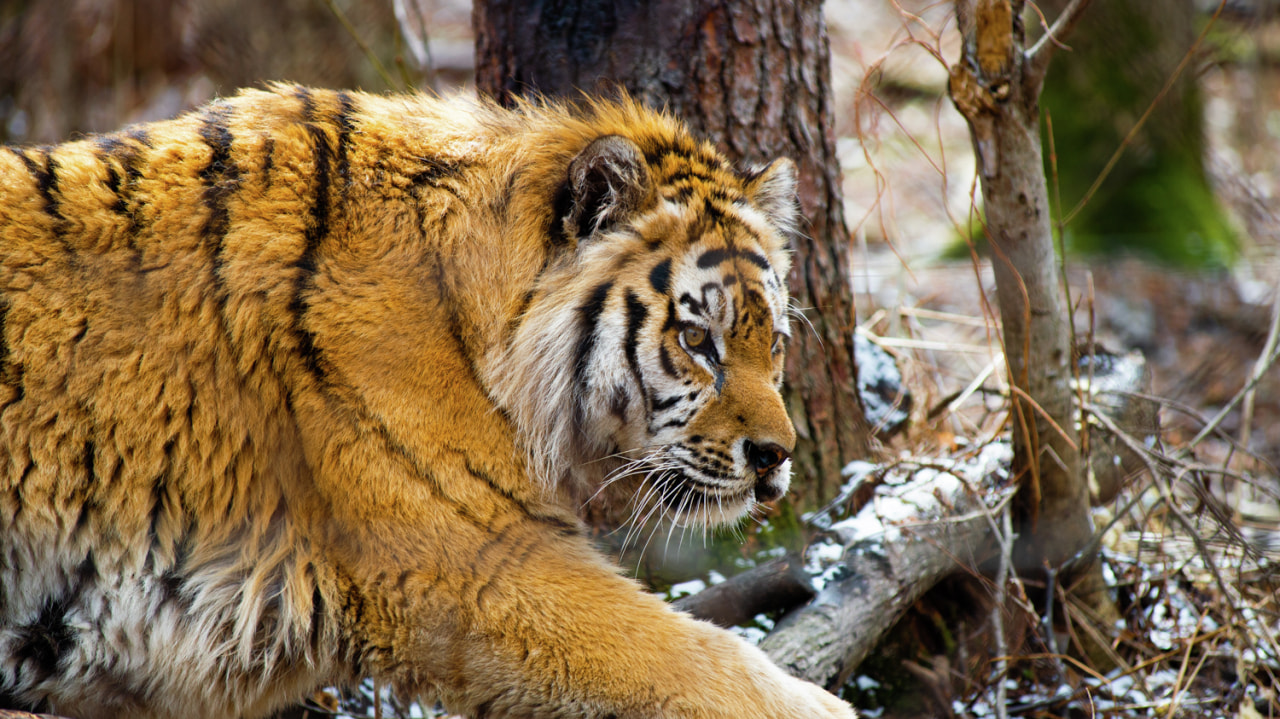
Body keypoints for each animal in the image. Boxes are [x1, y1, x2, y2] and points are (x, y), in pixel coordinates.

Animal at [2, 85, 860, 716]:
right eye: (697, 338)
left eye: (773, 339)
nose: (776, 457)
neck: (472, 321)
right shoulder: (479, 564)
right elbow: (697, 660)